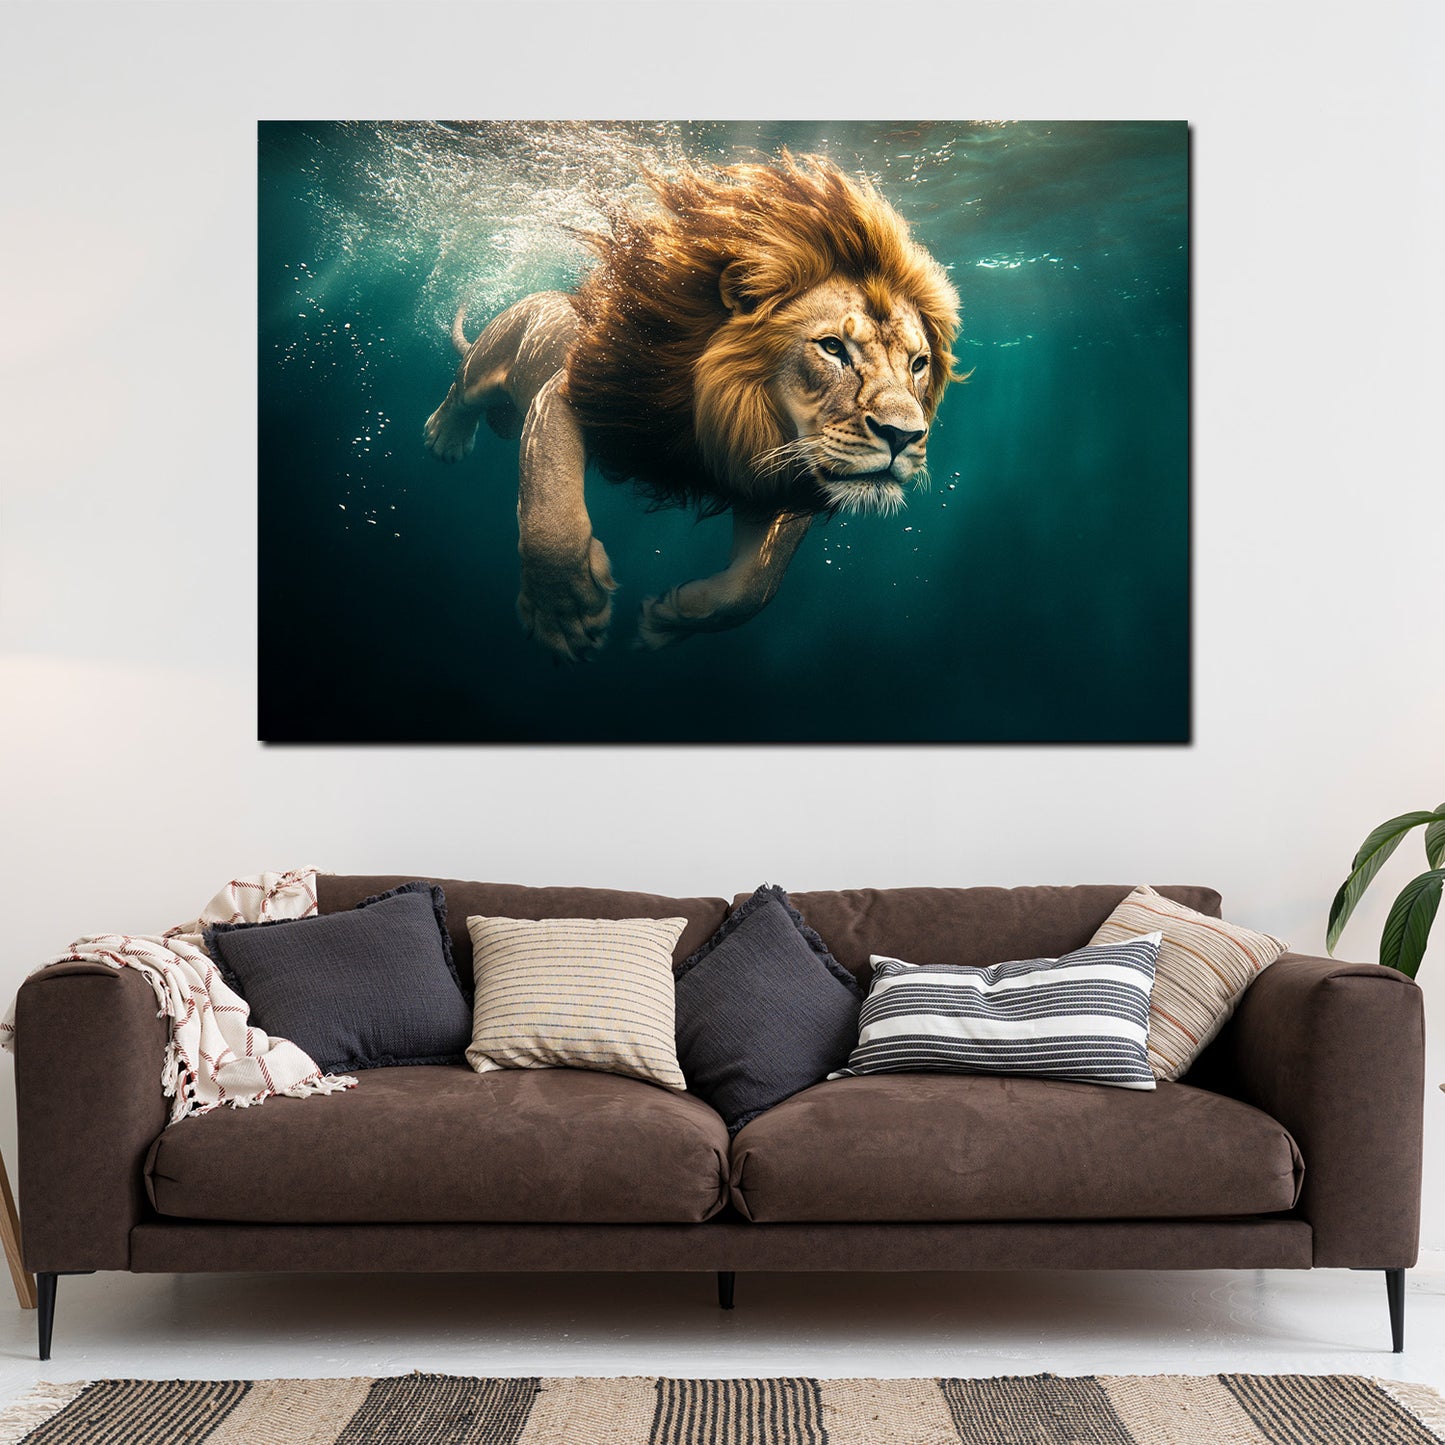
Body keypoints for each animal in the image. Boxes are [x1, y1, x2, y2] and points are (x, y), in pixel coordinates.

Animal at [423, 151, 962, 659]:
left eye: (918, 363)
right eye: (832, 348)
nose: (904, 436)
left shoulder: (775, 479)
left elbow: (755, 587)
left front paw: (666, 618)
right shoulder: (567, 394)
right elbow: (549, 511)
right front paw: (563, 614)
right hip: (495, 352)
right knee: (463, 387)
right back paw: (445, 437)